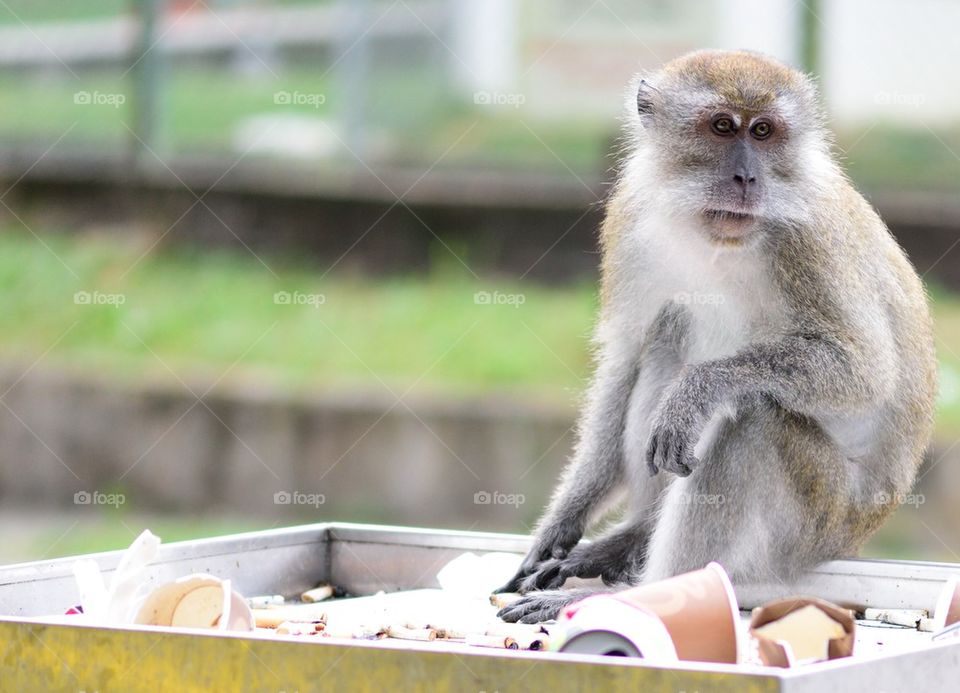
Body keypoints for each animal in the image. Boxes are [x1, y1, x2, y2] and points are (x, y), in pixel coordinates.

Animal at [496, 48, 936, 620]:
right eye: (723, 127)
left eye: (764, 131)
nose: (747, 177)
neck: (718, 235)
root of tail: (860, 532)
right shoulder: (631, 217)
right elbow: (626, 355)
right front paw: (565, 518)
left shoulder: (810, 239)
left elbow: (864, 371)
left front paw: (698, 389)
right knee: (665, 337)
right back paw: (633, 537)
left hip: (820, 516)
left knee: (752, 420)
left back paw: (641, 591)